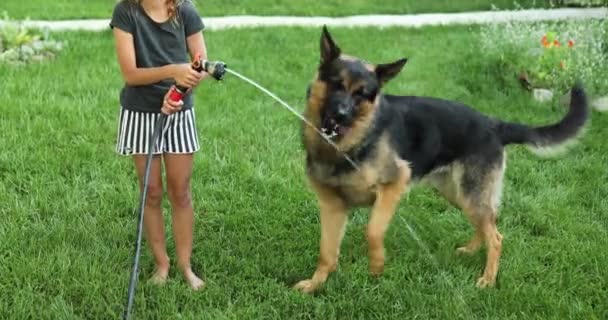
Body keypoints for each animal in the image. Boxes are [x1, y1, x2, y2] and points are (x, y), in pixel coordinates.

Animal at [294, 27, 588, 292]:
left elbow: (373, 230)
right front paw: (315, 284)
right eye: (336, 84)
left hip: (470, 194)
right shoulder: (332, 207)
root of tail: (494, 125)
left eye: (361, 94)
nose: (340, 116)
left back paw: (488, 279)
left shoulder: (392, 187)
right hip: (459, 195)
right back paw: (471, 251)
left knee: (496, 237)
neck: (349, 144)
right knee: (487, 224)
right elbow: (327, 252)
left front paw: (376, 266)